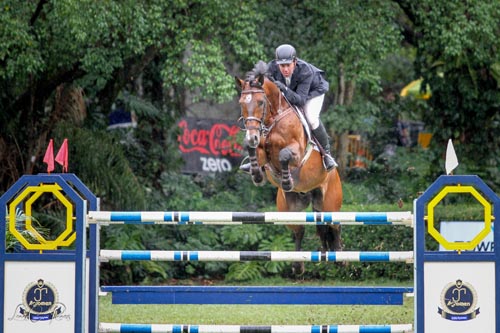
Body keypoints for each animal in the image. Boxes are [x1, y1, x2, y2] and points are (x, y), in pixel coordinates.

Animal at [235, 61, 344, 274]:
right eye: (242, 103)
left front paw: (286, 181)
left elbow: (284, 155)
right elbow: (254, 151)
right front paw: (256, 174)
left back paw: (340, 257)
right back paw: (298, 264)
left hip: (330, 203)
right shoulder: (263, 153)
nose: (251, 136)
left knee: (334, 225)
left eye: (260, 102)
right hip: (288, 208)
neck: (274, 119)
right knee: (300, 230)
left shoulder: (297, 152)